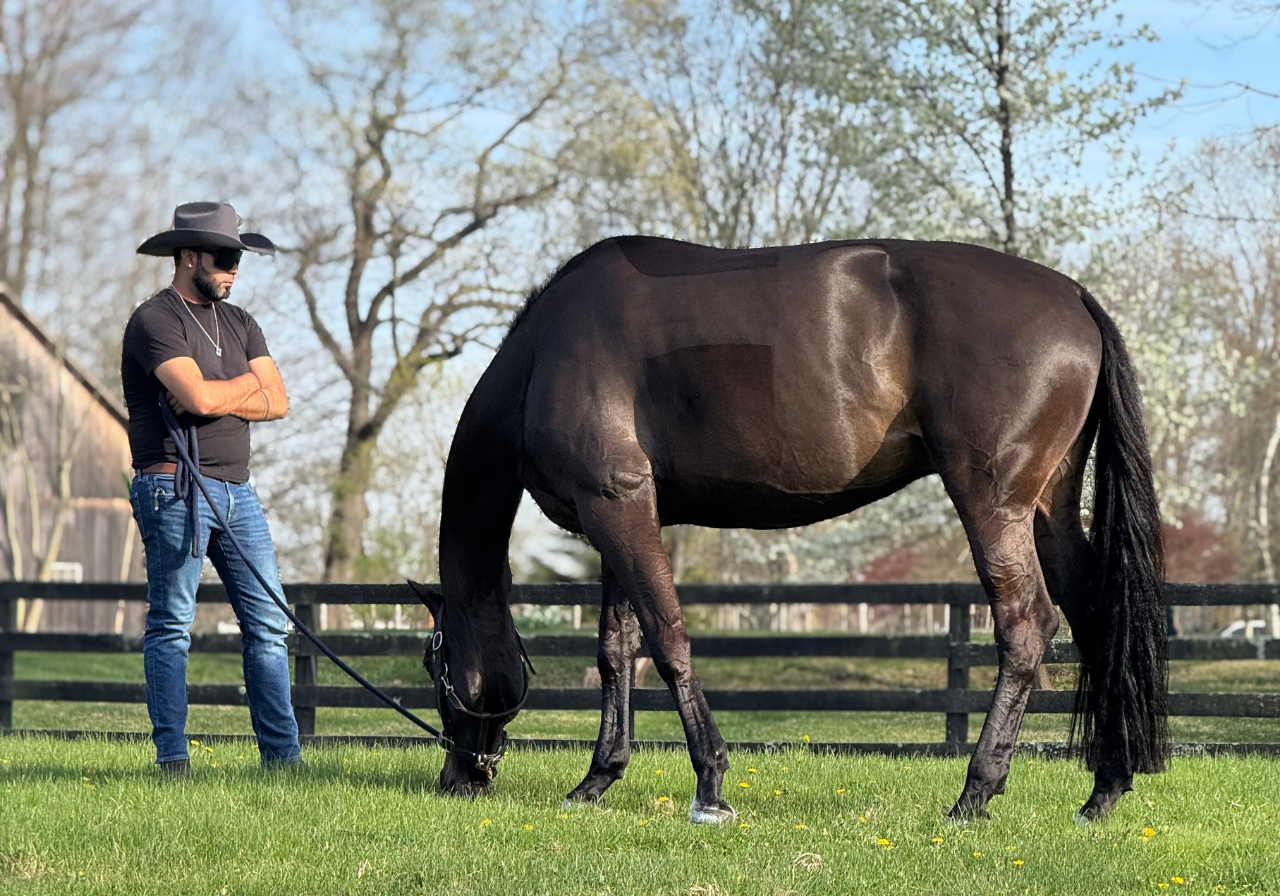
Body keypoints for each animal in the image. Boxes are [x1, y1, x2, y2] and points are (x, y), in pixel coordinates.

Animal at [407, 235, 1169, 823]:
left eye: (432, 662)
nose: (460, 777)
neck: (545, 354)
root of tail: (1074, 296)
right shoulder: (619, 513)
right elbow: (616, 651)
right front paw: (596, 780)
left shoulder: (617, 507)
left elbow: (668, 638)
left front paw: (710, 784)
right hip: (1048, 508)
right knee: (1096, 615)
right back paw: (1104, 789)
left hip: (993, 502)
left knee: (1027, 625)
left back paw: (975, 793)